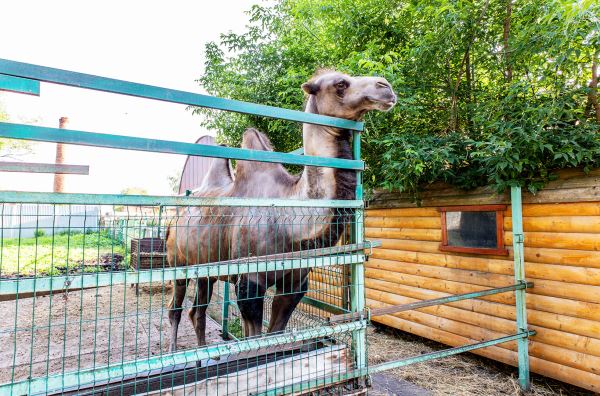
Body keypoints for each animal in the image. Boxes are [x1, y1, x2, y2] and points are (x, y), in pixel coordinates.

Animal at [166, 69, 396, 352]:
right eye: (340, 83)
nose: (386, 87)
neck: (289, 221)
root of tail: (173, 219)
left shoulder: (295, 283)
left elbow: (276, 334)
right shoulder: (251, 280)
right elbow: (254, 340)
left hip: (205, 268)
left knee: (197, 311)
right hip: (177, 262)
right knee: (175, 309)